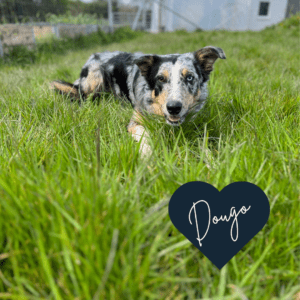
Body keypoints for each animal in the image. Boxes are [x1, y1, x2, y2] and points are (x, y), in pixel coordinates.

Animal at [50, 47, 226, 157]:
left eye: (189, 77)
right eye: (160, 79)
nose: (174, 108)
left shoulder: (194, 124)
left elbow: (203, 143)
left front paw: (211, 160)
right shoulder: (135, 122)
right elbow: (145, 138)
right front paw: (149, 159)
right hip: (95, 76)